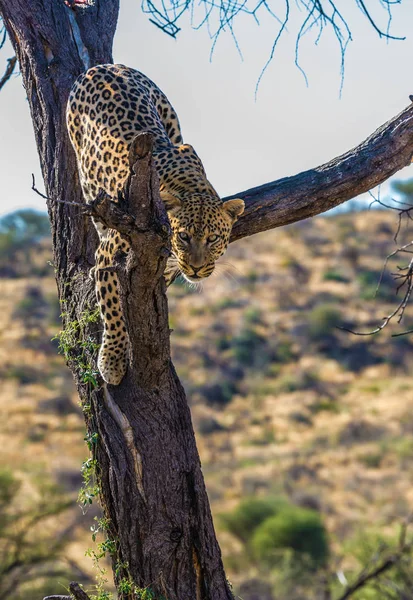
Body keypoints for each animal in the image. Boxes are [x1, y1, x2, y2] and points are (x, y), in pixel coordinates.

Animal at [66, 64, 243, 384]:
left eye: (212, 239)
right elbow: (113, 307)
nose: (196, 268)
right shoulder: (109, 254)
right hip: (84, 168)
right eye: (183, 236)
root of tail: (106, 66)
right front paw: (112, 360)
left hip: (172, 121)